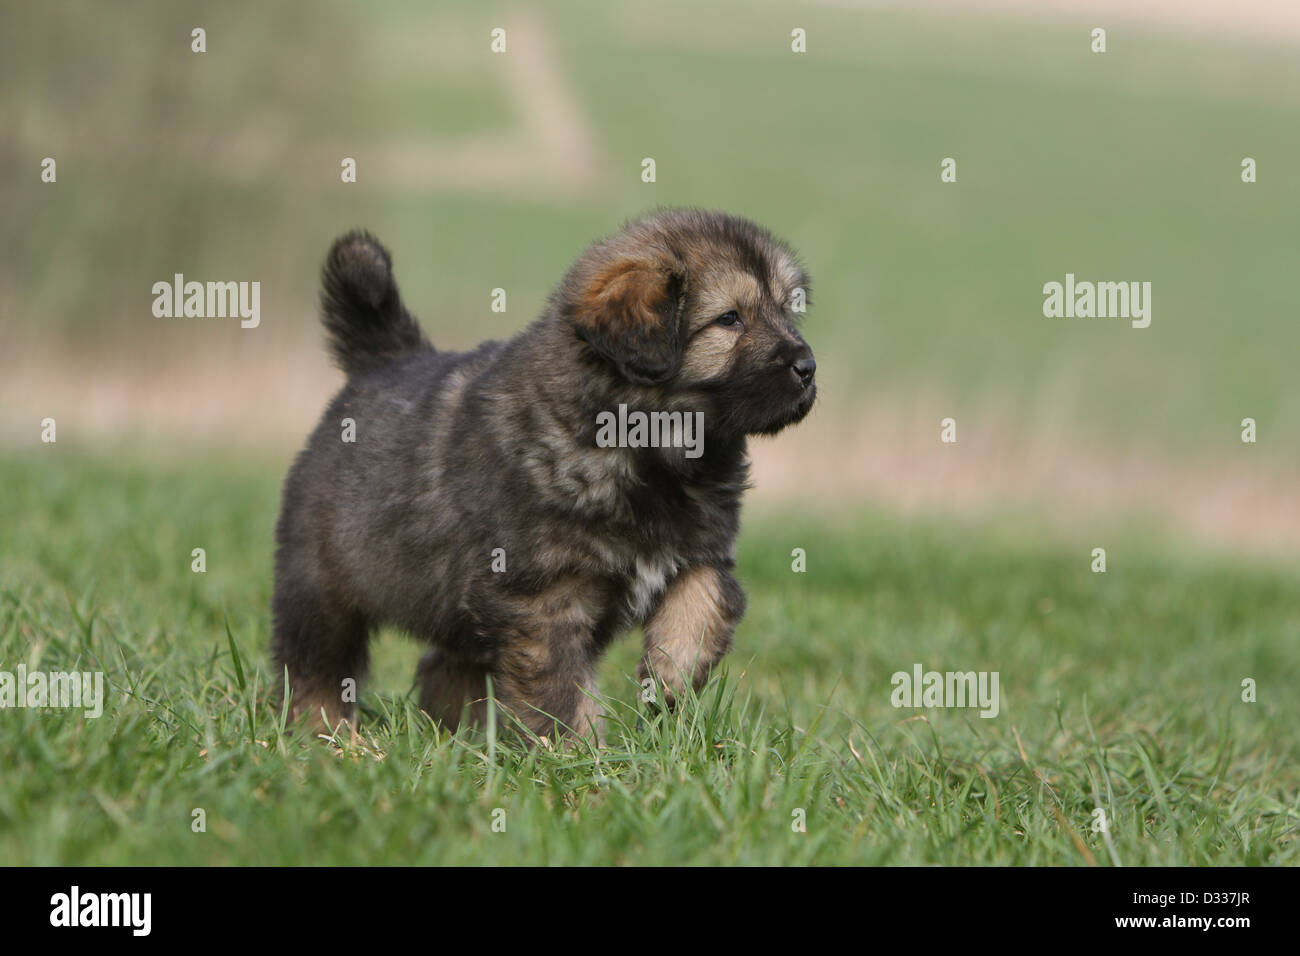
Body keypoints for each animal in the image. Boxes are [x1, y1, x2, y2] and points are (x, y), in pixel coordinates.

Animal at [270, 209, 816, 738]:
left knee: (446, 665)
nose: (808, 366)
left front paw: (669, 679)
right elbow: (559, 689)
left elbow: (704, 600)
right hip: (320, 583)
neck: (645, 450)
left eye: (786, 311)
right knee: (316, 662)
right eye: (730, 319)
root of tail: (382, 362)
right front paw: (576, 752)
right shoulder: (541, 597)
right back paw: (324, 732)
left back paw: (460, 737)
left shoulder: (702, 550)